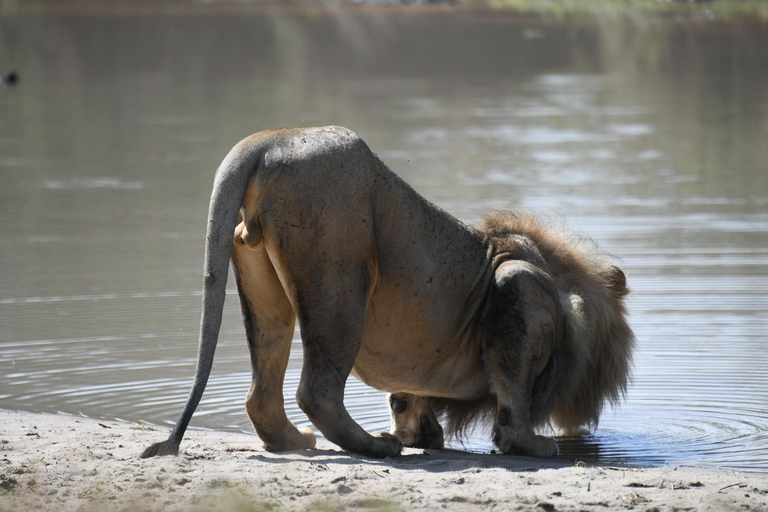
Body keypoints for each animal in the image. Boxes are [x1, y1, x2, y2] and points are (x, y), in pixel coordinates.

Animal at [141, 125, 632, 460]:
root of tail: (267, 140)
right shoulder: (522, 286)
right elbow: (512, 408)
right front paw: (533, 444)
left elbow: (407, 394)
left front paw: (420, 433)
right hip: (339, 280)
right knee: (317, 390)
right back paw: (375, 446)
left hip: (259, 275)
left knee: (262, 393)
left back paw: (296, 441)